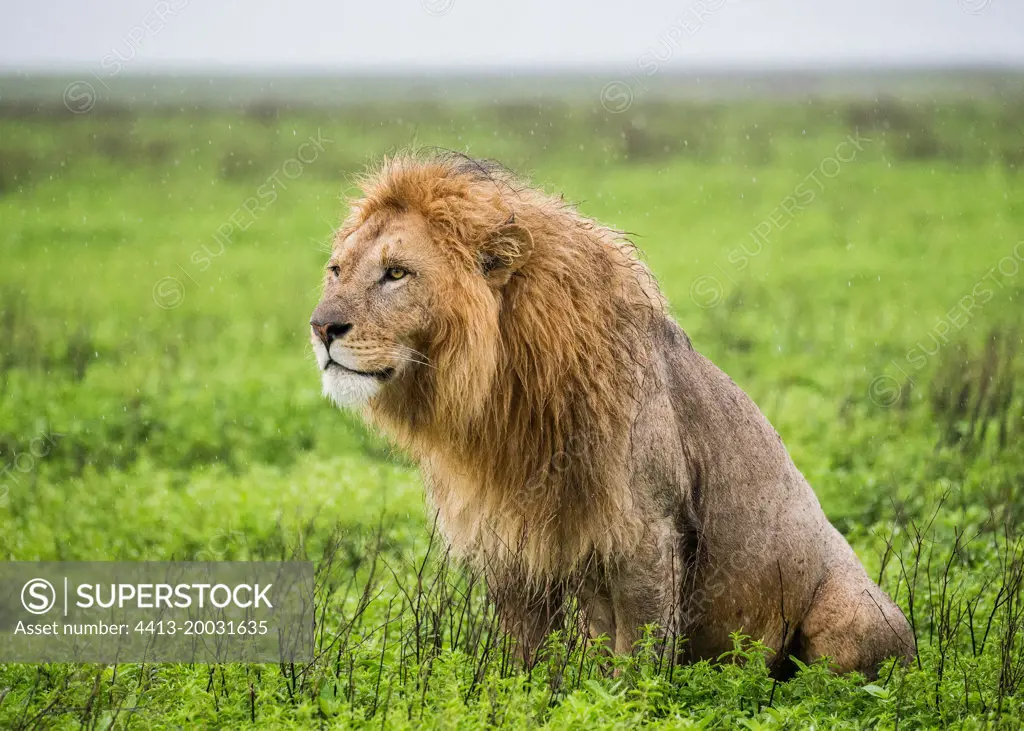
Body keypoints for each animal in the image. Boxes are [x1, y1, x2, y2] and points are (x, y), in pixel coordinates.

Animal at [307, 150, 917, 675]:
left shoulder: (647, 533)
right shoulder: (509, 539)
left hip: (853, 614)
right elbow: (530, 656)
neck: (500, 396)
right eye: (336, 270)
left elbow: (637, 659)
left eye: (396, 273)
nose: (321, 327)